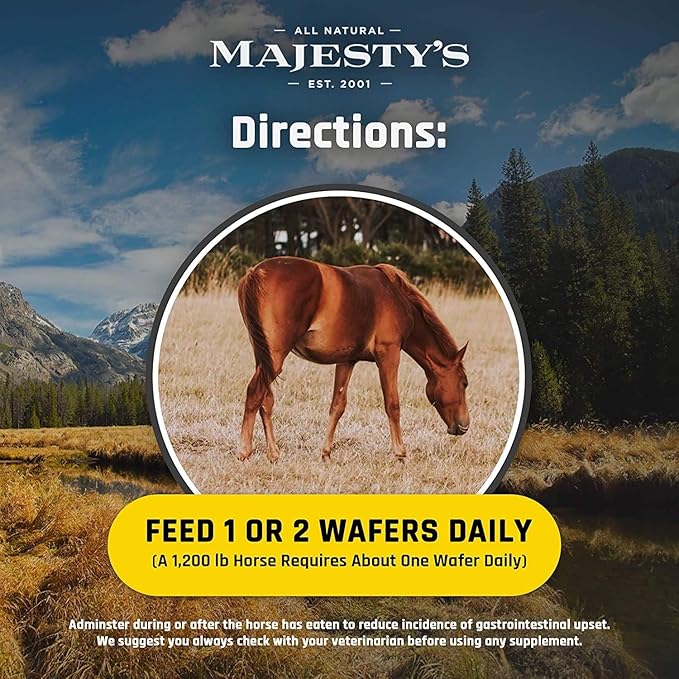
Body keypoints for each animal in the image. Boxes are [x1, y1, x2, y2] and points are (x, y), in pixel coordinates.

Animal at [236, 256, 469, 463]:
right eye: (464, 383)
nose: (464, 426)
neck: (396, 298)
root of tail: (255, 273)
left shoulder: (346, 361)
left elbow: (337, 406)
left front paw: (326, 453)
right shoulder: (389, 354)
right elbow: (392, 404)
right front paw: (400, 453)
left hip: (265, 358)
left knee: (266, 399)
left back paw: (273, 454)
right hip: (275, 358)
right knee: (255, 392)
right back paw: (245, 451)